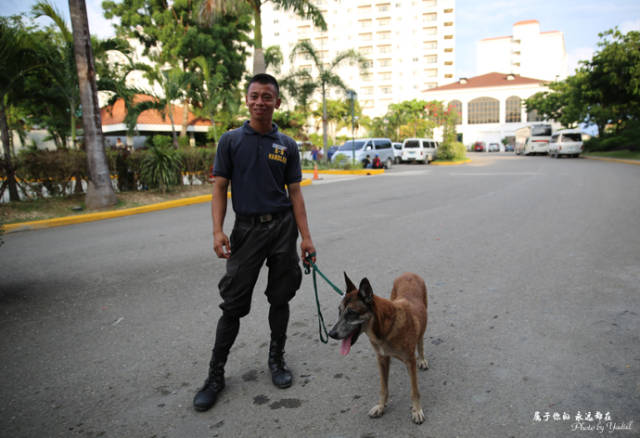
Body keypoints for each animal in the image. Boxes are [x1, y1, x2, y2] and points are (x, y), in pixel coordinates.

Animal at [328, 272, 428, 422]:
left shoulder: (410, 362)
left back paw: (421, 359)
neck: (386, 328)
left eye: (351, 313)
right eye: (339, 311)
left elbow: (414, 391)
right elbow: (383, 388)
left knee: (420, 340)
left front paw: (416, 409)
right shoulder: (381, 359)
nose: (331, 334)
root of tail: (409, 274)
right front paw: (381, 406)